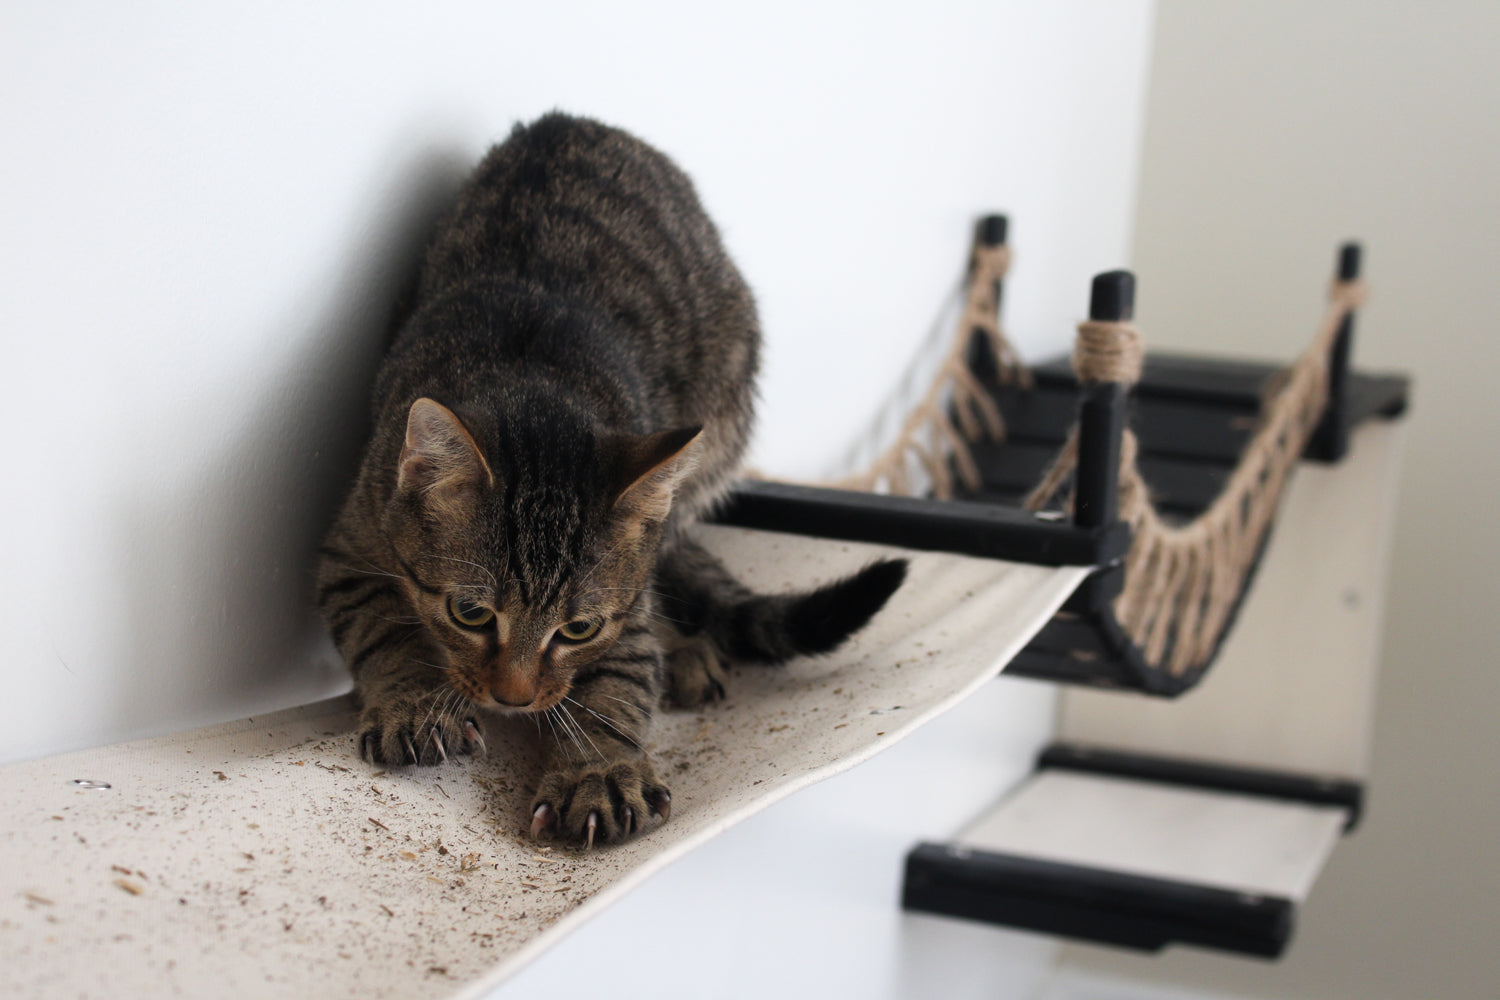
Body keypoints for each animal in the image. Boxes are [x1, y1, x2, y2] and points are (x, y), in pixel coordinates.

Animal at [313, 115, 900, 845]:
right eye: (470, 613)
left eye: (579, 629)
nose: (513, 699)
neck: (532, 377)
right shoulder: (349, 550)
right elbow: (385, 630)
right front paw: (415, 702)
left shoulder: (625, 612)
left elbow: (617, 679)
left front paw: (599, 773)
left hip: (717, 430)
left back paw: (687, 651)